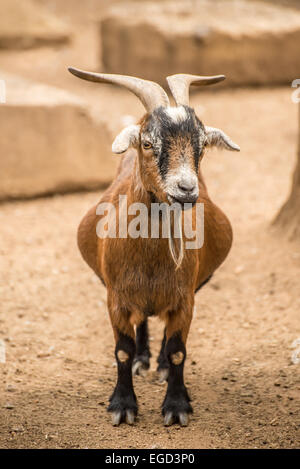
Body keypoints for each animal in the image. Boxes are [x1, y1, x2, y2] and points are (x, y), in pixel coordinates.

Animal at [69, 67, 240, 426]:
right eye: (148, 143)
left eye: (202, 145)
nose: (186, 189)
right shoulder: (115, 298)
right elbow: (122, 350)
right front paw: (122, 406)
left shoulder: (185, 299)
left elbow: (177, 352)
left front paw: (176, 405)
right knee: (143, 321)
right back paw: (143, 359)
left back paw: (157, 363)